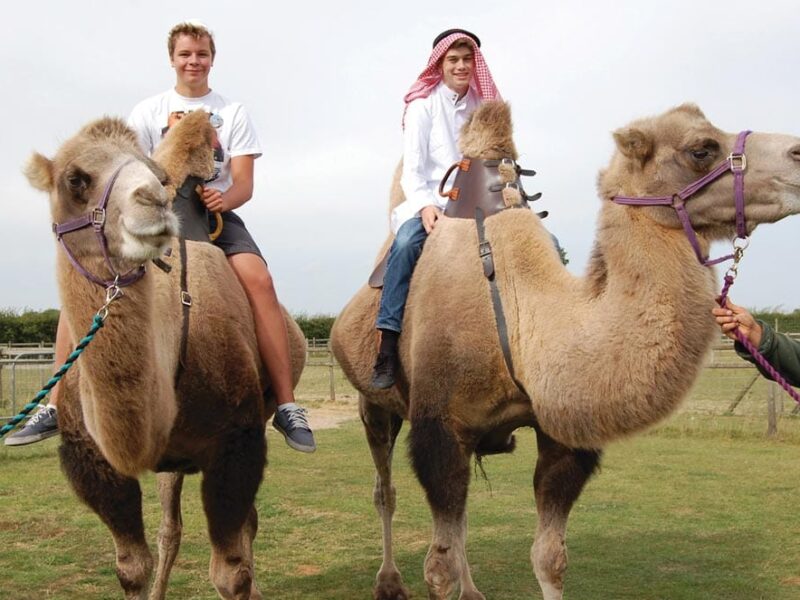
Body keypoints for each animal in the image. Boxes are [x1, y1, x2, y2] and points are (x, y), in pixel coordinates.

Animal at [24, 110, 305, 600]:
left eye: (154, 174)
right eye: (75, 179)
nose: (152, 201)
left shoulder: (238, 443)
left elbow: (230, 573)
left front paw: (244, 583)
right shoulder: (91, 459)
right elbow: (131, 568)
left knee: (244, 526)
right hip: (171, 462)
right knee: (171, 528)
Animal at [330, 101, 800, 599]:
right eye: (701, 148)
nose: (798, 151)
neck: (518, 317)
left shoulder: (561, 436)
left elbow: (549, 559)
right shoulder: (439, 427)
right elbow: (439, 569)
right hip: (374, 402)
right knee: (386, 490)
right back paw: (389, 581)